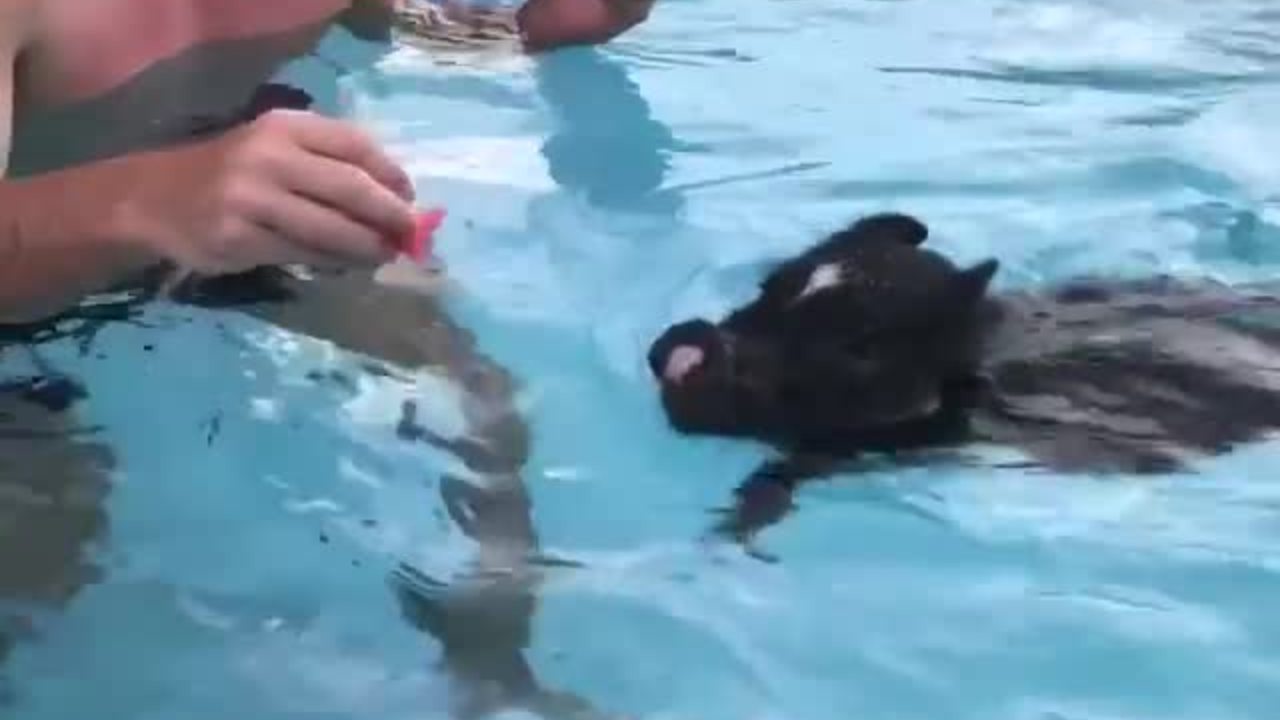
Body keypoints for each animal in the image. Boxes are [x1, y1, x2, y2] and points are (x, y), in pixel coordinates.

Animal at [650, 210, 1280, 558]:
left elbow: (787, 470)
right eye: (766, 285)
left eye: (858, 350)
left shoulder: (880, 439)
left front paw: (733, 532)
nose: (676, 350)